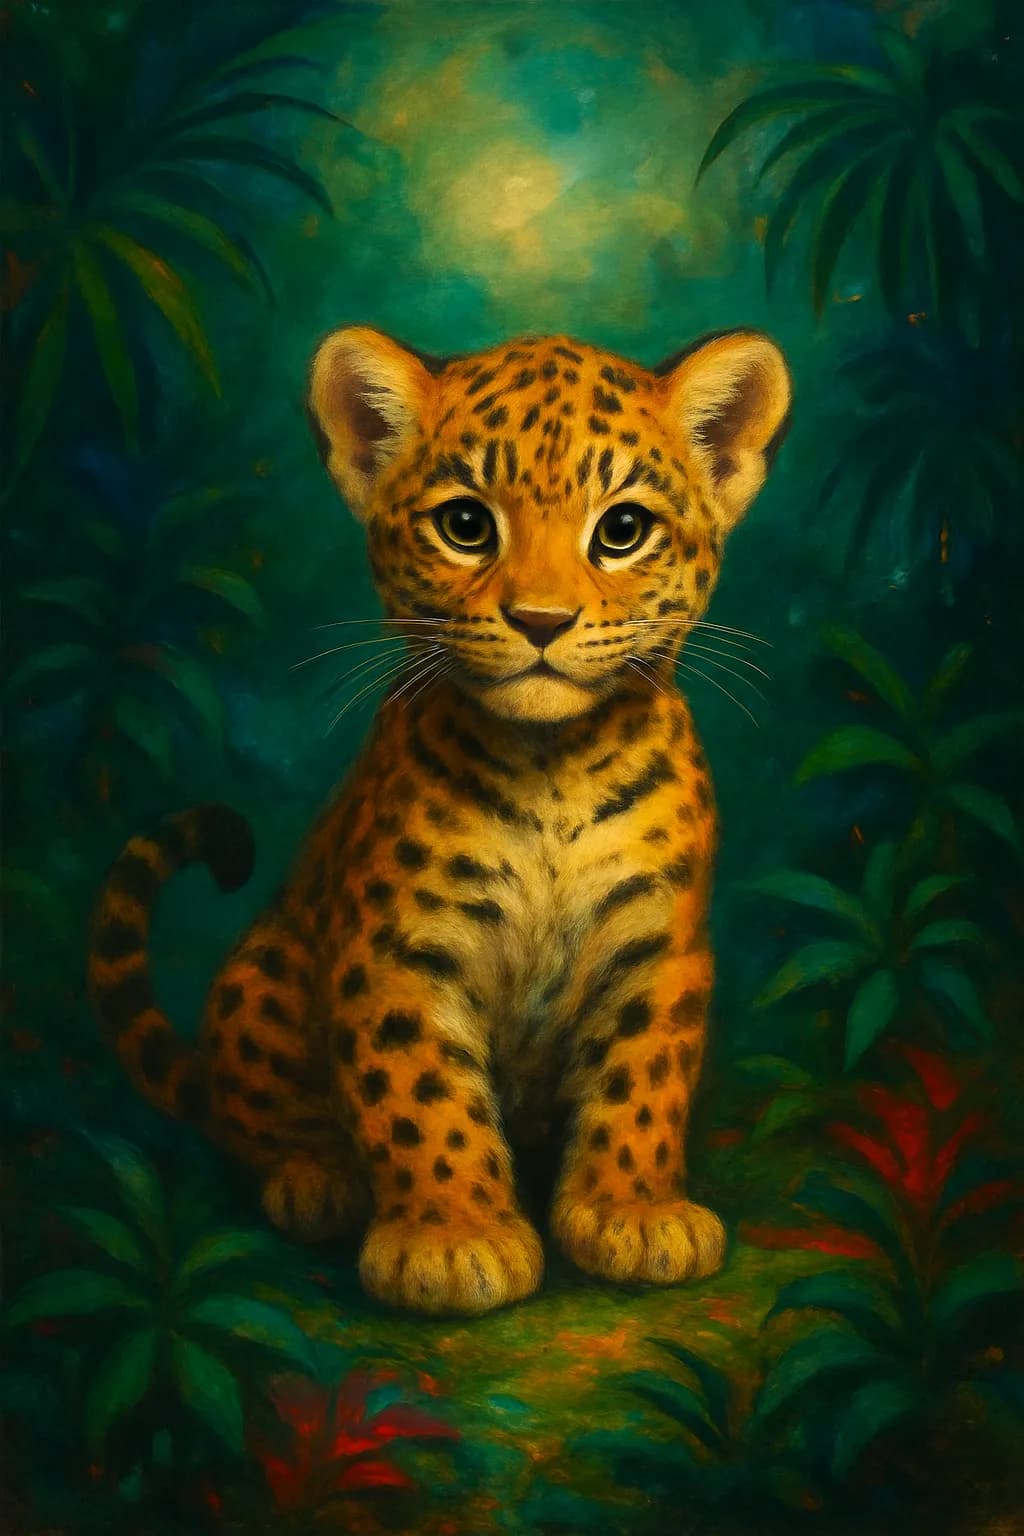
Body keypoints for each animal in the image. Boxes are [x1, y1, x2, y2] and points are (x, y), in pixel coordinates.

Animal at [88, 322, 791, 1316]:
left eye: (622, 530)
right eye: (466, 524)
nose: (541, 619)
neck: (553, 771)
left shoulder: (657, 945)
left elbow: (643, 1076)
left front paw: (635, 1211)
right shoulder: (397, 950)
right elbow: (418, 1093)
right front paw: (453, 1237)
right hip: (261, 976)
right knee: (260, 1122)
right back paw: (318, 1179)